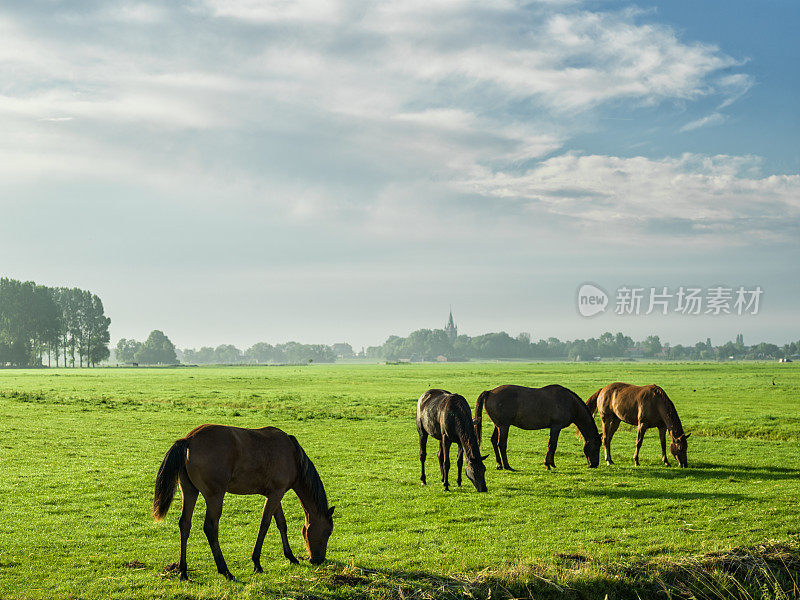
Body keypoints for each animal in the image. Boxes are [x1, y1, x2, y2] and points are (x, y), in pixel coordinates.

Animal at [153, 424, 334, 580]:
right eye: (328, 532)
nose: (318, 560)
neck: (293, 455)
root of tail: (189, 439)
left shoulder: (275, 494)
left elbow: (281, 524)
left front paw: (291, 557)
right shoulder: (276, 494)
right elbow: (265, 525)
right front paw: (257, 563)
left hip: (189, 491)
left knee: (185, 524)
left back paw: (183, 571)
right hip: (215, 496)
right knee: (210, 528)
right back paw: (225, 570)